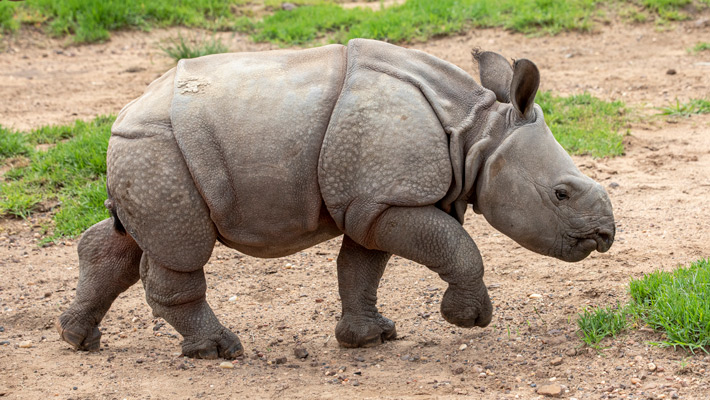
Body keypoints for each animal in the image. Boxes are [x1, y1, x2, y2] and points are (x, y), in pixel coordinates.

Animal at [55, 39, 616, 360]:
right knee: (182, 248)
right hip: (159, 150)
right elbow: (459, 249)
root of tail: (123, 114)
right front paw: (469, 320)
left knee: (129, 238)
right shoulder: (388, 198)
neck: (475, 136)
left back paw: (78, 340)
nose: (605, 236)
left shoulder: (372, 203)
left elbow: (362, 267)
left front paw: (369, 339)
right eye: (561, 194)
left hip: (150, 154)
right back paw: (219, 352)